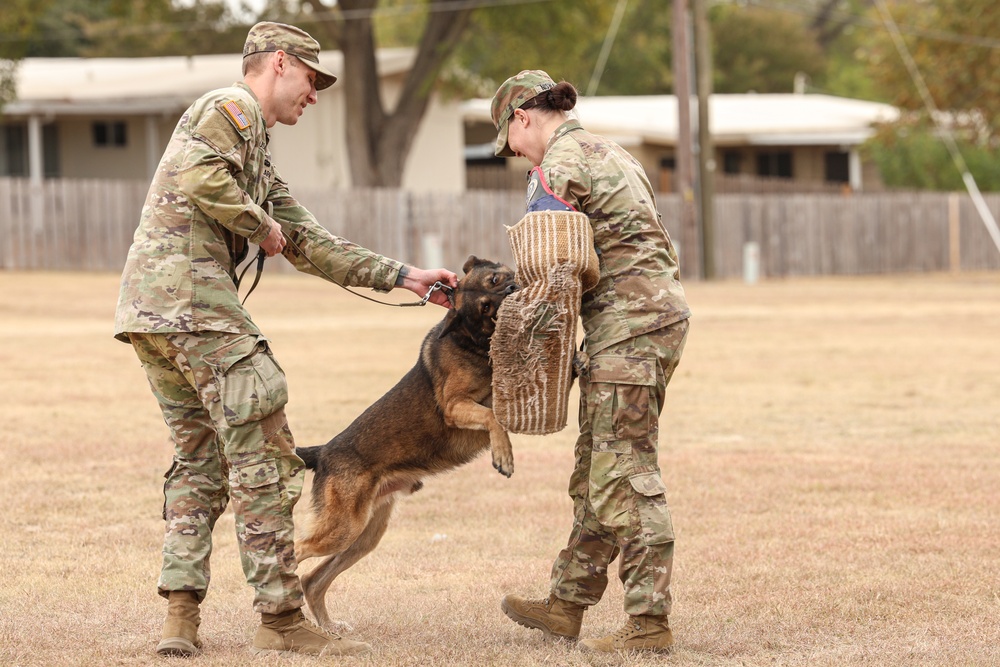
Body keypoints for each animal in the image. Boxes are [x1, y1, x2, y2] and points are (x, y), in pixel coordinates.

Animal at [292, 256, 520, 632]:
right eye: (487, 307)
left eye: (496, 279)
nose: (515, 290)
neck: (469, 339)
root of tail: (323, 452)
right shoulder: (455, 406)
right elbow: (492, 418)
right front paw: (503, 456)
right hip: (343, 530)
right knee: (293, 554)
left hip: (363, 536)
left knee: (313, 580)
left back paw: (329, 628)